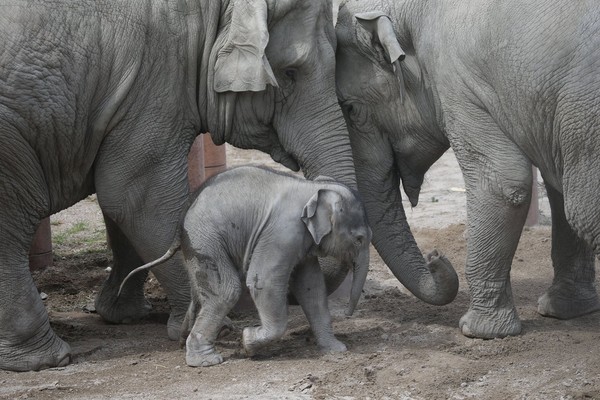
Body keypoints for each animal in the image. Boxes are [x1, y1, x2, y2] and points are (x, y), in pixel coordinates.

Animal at [120, 165, 372, 366]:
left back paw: (184, 341)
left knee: (201, 291)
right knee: (226, 290)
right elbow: (264, 282)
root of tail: (183, 216)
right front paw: (247, 342)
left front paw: (336, 350)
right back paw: (205, 361)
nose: (348, 314)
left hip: (196, 246)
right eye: (360, 239)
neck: (313, 187)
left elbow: (312, 288)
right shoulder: (282, 232)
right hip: (205, 238)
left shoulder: (302, 241)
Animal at [338, 0, 600, 340]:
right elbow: (557, 187)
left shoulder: (458, 83)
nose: (435, 256)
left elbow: (503, 180)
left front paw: (477, 331)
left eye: (350, 109)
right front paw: (563, 310)